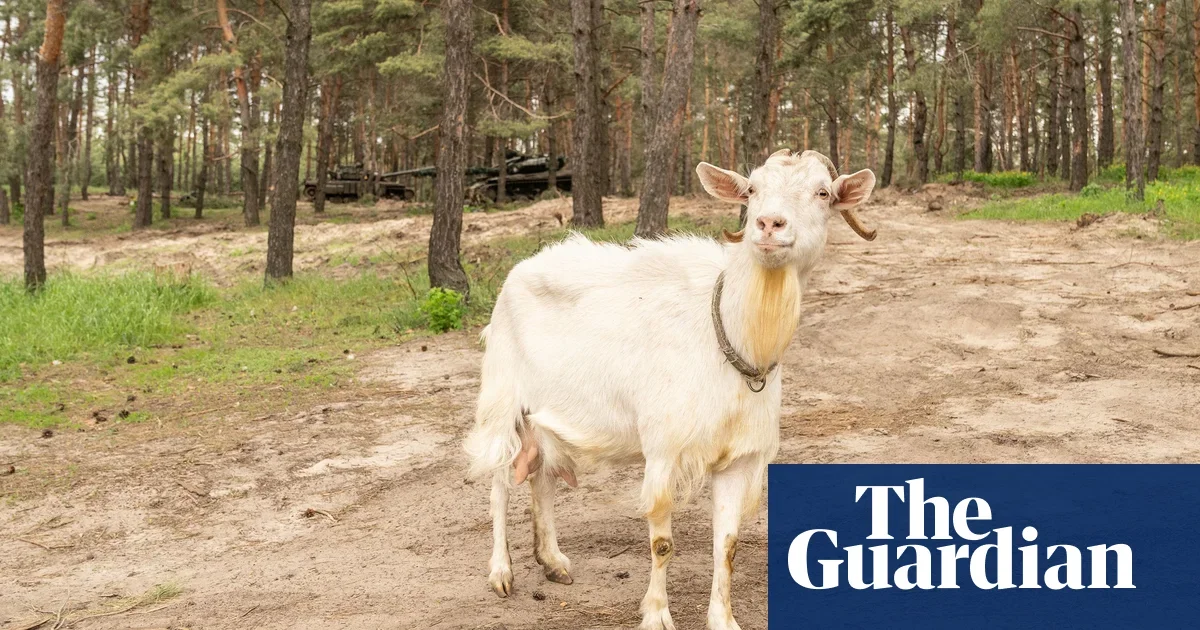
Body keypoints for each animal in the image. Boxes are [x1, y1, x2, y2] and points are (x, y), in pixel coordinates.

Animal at [464, 149, 877, 630]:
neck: (729, 338)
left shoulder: (740, 458)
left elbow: (728, 545)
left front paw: (723, 619)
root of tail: (517, 272)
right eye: (752, 188)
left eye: (822, 192)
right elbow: (662, 544)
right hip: (501, 400)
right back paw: (501, 573)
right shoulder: (663, 450)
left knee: (541, 479)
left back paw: (553, 562)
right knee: (498, 484)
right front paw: (657, 615)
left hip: (546, 417)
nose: (769, 224)